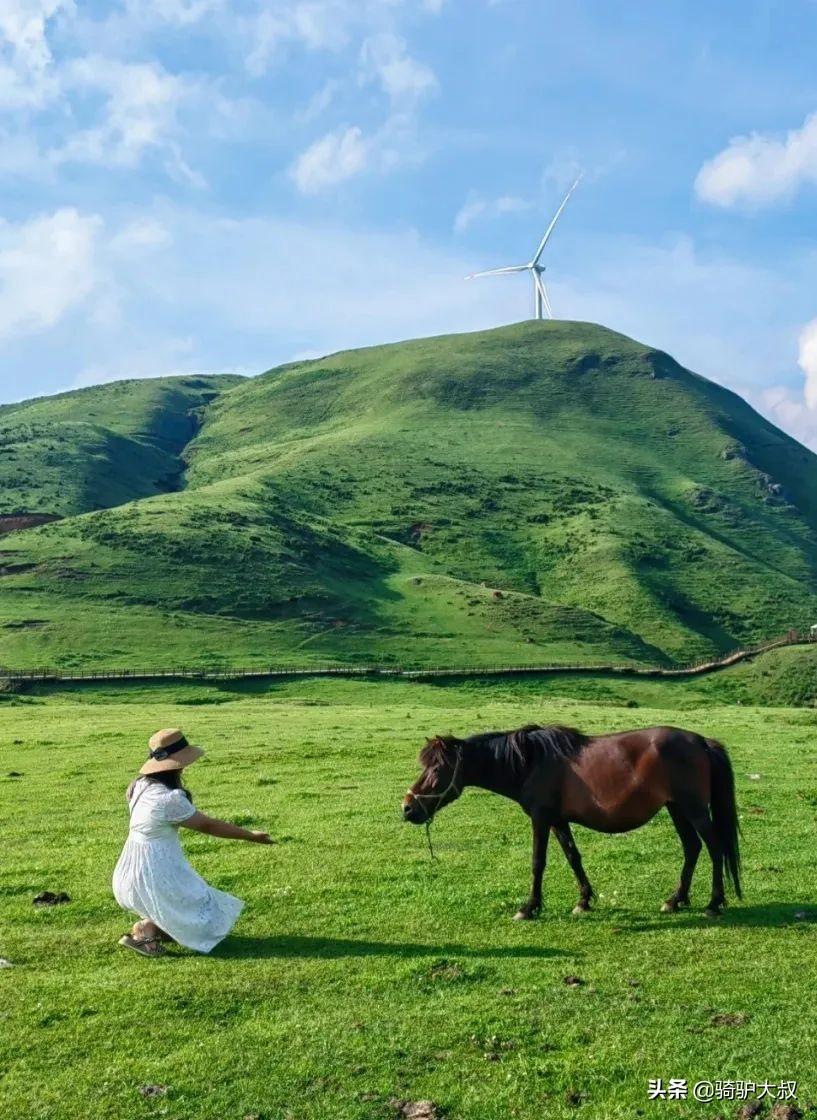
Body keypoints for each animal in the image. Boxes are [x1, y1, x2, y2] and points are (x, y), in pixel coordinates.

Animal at [401, 725, 739, 918]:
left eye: (436, 769)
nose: (407, 808)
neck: (529, 762)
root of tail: (701, 742)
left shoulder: (541, 818)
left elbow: (538, 862)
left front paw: (529, 907)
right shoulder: (558, 821)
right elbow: (573, 857)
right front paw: (584, 901)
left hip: (693, 809)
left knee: (714, 847)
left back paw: (713, 903)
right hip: (676, 808)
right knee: (692, 848)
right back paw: (676, 899)